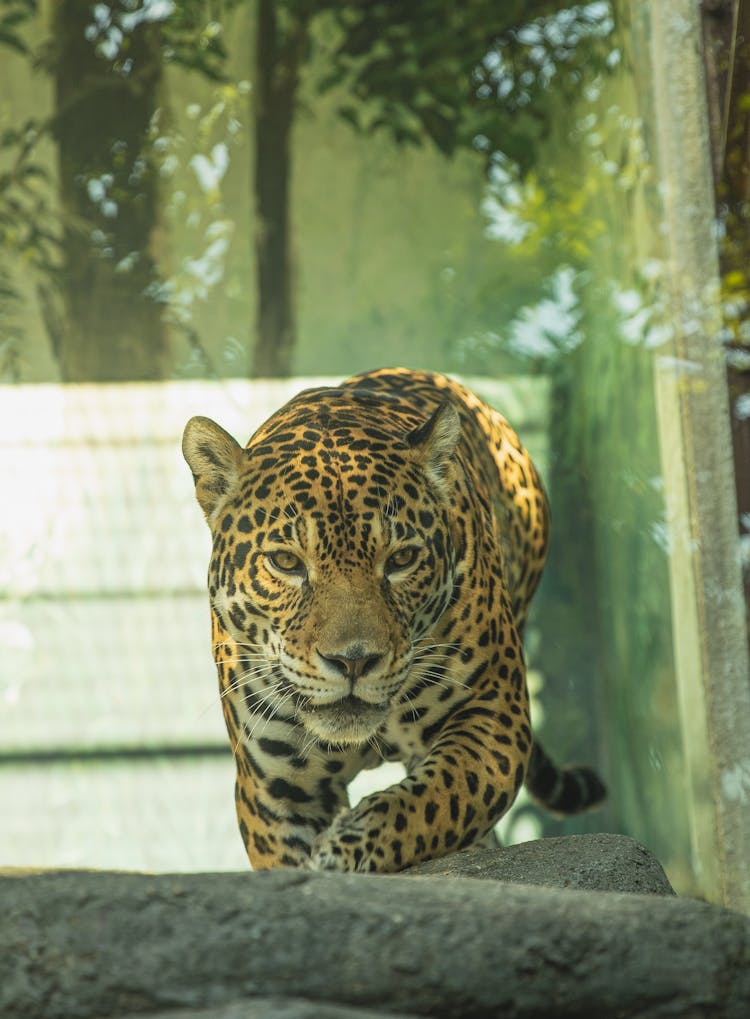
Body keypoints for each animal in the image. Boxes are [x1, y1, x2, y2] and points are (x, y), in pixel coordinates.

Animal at [183, 368, 603, 876]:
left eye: (401, 559)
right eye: (285, 562)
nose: (353, 661)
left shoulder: (496, 718)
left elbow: (433, 802)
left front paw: (344, 849)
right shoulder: (276, 789)